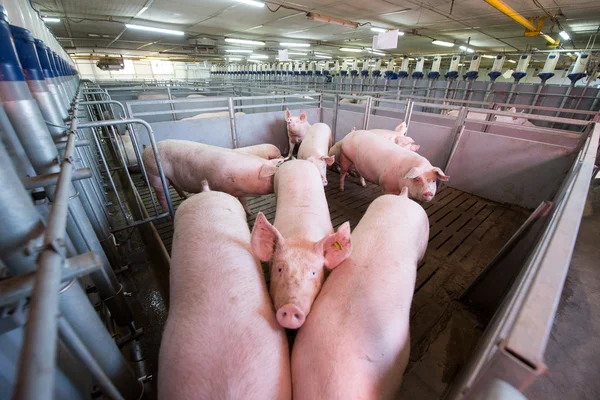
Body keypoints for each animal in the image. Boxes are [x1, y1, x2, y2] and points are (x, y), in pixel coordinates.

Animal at [142, 139, 280, 212]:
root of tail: (146, 149)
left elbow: (243, 201)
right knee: (160, 196)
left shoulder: (238, 190)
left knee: (175, 186)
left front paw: (250, 212)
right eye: (272, 177)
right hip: (154, 174)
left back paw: (184, 197)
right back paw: (167, 213)